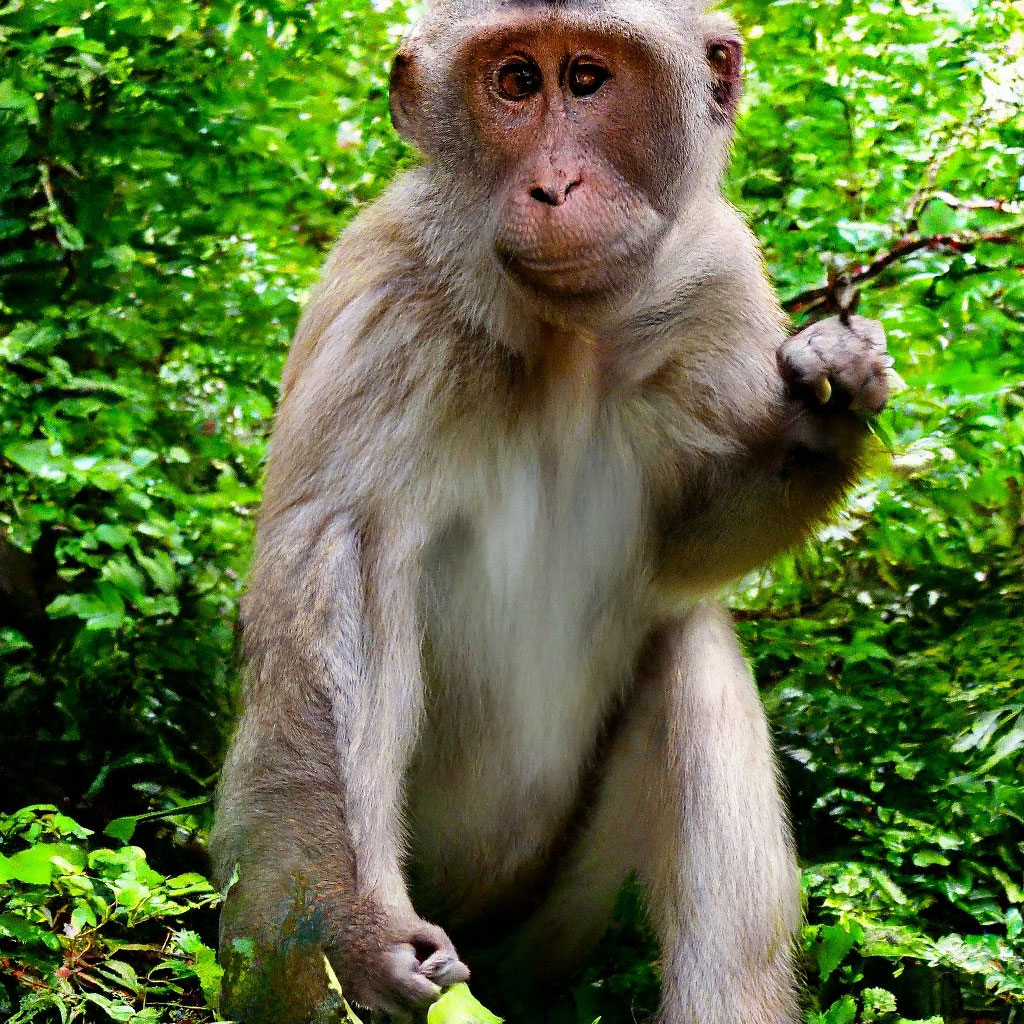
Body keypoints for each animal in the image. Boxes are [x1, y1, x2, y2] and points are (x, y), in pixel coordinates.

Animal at [209, 2, 888, 1024]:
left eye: (590, 80)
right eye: (517, 82)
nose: (554, 183)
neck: (569, 341)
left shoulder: (719, 278)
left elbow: (681, 554)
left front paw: (830, 403)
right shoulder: (389, 291)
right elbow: (339, 573)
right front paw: (361, 929)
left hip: (555, 930)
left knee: (688, 652)